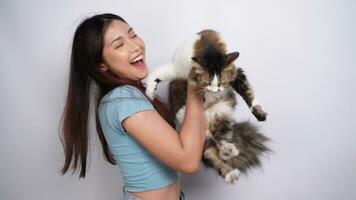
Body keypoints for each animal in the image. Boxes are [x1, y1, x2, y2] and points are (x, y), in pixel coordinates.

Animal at [145, 28, 270, 184]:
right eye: (207, 82)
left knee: (221, 140)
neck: (210, 48)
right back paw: (230, 171)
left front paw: (259, 113)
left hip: (222, 113)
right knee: (209, 151)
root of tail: (209, 122)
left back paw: (228, 150)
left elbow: (249, 93)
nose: (215, 91)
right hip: (196, 131)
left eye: (222, 82)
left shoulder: (237, 74)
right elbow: (157, 74)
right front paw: (149, 92)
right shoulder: (178, 68)